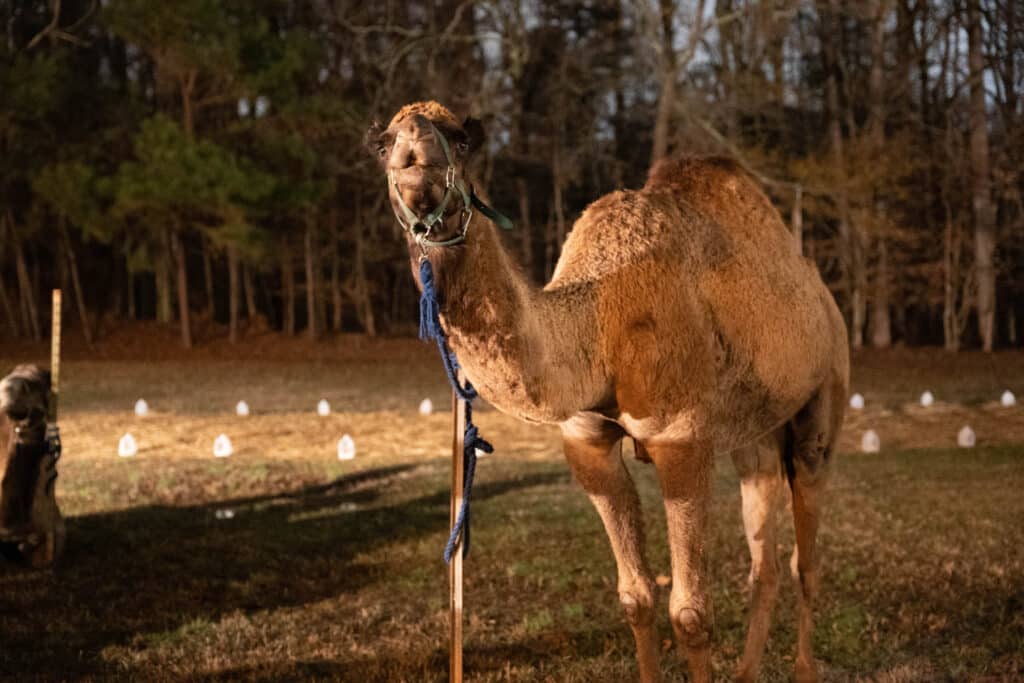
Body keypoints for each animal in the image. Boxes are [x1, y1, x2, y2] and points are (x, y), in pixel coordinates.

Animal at [366, 102, 847, 683]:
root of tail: (824, 297)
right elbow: (635, 598)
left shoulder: (681, 439)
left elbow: (690, 613)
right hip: (754, 433)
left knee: (807, 558)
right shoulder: (587, 442)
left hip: (823, 401)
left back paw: (804, 667)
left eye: (461, 139)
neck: (598, 329)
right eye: (383, 144)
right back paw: (748, 670)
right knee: (766, 559)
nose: (415, 152)